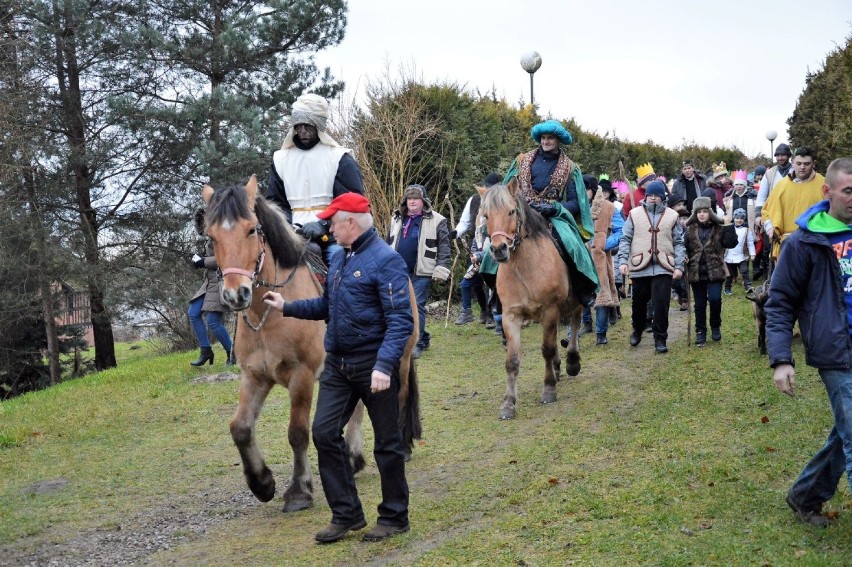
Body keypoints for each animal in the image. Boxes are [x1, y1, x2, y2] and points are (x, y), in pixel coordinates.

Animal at [204, 178, 422, 516]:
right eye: (211, 236)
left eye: (251, 230)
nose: (235, 294)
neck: (268, 316)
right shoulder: (254, 376)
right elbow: (239, 428)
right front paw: (262, 483)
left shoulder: (301, 376)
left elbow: (297, 433)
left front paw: (298, 491)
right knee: (358, 406)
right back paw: (352, 457)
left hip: (396, 360)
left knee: (398, 398)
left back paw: (398, 447)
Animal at [480, 180, 584, 420]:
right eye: (486, 215)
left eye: (511, 211)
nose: (499, 249)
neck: (525, 268)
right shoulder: (511, 315)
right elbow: (512, 361)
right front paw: (508, 403)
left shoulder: (550, 309)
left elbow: (546, 349)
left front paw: (548, 390)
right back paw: (557, 367)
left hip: (573, 301)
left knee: (575, 321)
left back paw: (572, 362)